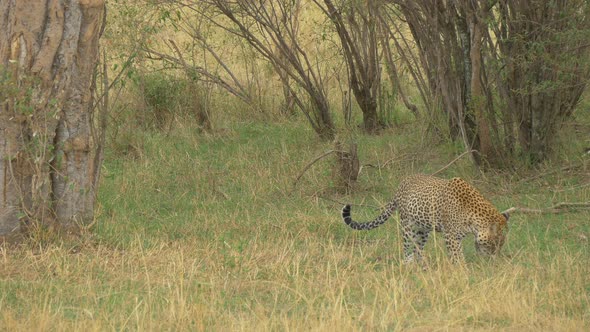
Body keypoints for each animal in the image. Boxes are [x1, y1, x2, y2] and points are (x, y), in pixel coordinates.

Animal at [344, 174, 512, 264]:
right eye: (494, 244)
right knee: (407, 248)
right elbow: (457, 256)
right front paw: (463, 271)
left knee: (418, 249)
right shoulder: (451, 236)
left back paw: (423, 265)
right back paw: (409, 265)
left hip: (422, 230)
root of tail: (402, 183)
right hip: (407, 226)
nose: (493, 258)